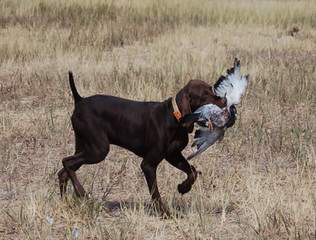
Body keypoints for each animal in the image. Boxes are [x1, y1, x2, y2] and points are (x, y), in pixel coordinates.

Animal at [58, 71, 232, 216]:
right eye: (204, 95)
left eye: (212, 89)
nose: (224, 100)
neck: (173, 117)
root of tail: (80, 101)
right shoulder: (148, 164)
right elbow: (155, 192)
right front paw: (164, 213)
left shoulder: (173, 155)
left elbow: (192, 172)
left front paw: (183, 187)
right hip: (98, 150)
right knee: (66, 162)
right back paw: (81, 193)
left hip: (86, 147)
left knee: (63, 172)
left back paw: (65, 202)